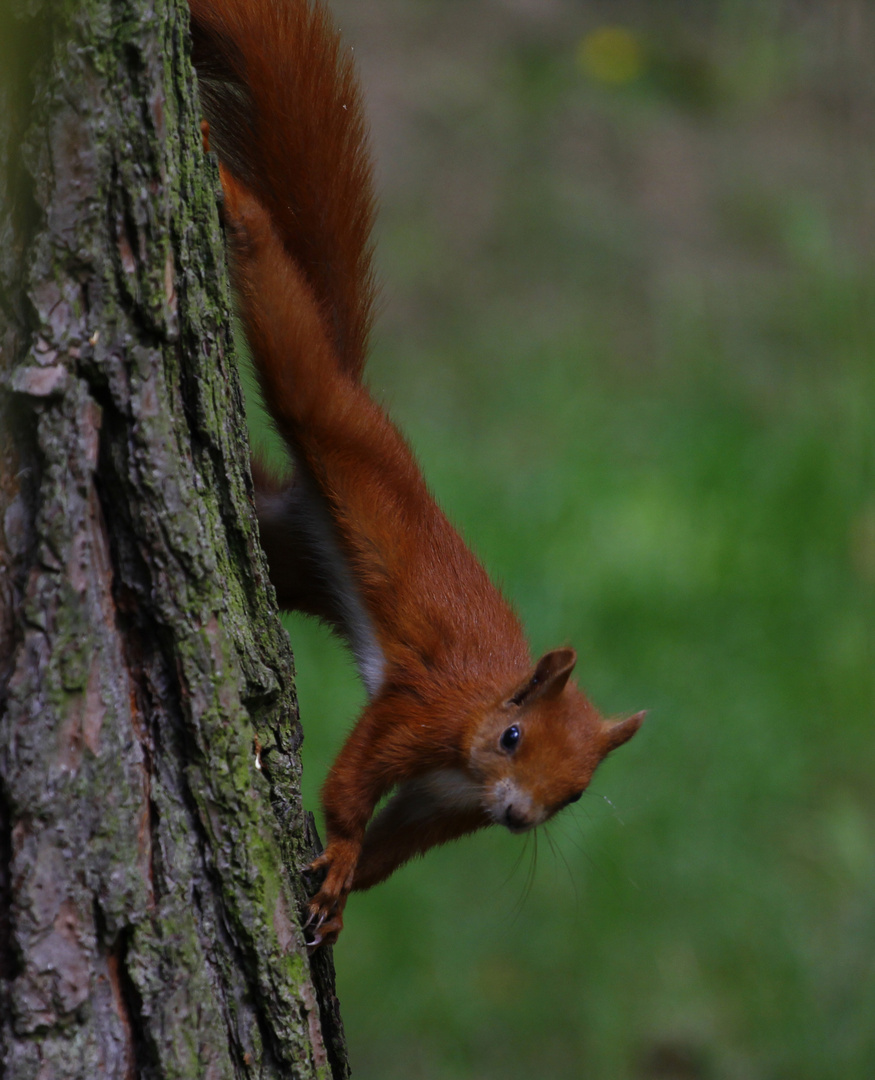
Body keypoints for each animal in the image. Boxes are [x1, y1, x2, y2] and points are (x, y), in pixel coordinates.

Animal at [189, 0, 639, 946]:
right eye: (512, 739)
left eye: (575, 795)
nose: (516, 815)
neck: (480, 716)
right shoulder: (421, 711)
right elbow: (356, 776)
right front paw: (339, 851)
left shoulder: (446, 804)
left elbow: (397, 844)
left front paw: (347, 890)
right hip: (327, 412)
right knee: (294, 340)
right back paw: (233, 202)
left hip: (289, 553)